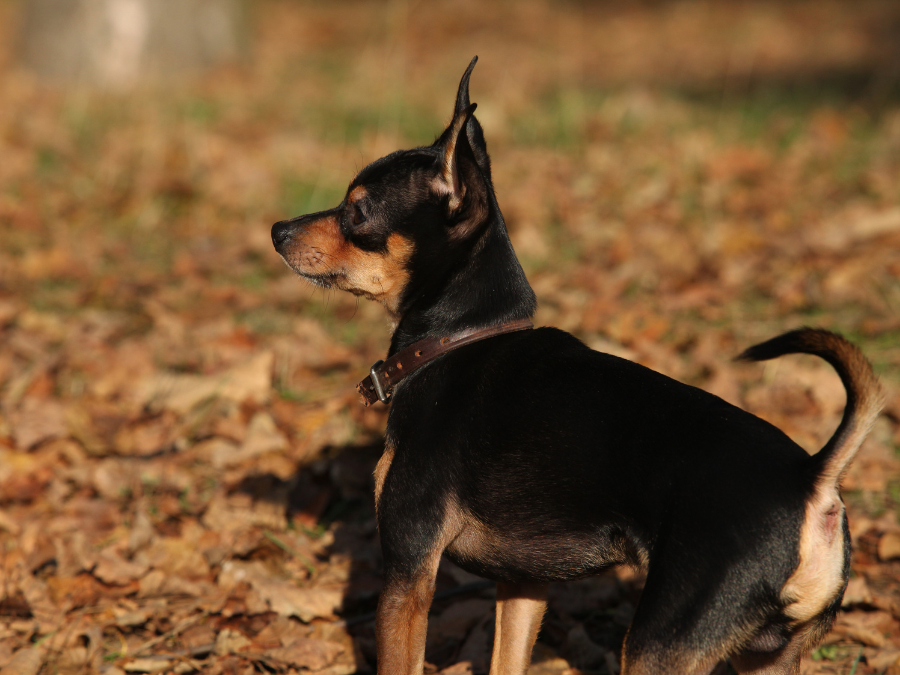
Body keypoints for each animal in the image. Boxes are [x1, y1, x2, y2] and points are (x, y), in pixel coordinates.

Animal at [270, 56, 884, 675]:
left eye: (358, 211)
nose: (277, 230)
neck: (457, 339)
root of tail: (812, 479)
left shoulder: (408, 570)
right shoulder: (523, 584)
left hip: (660, 646)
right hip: (767, 654)